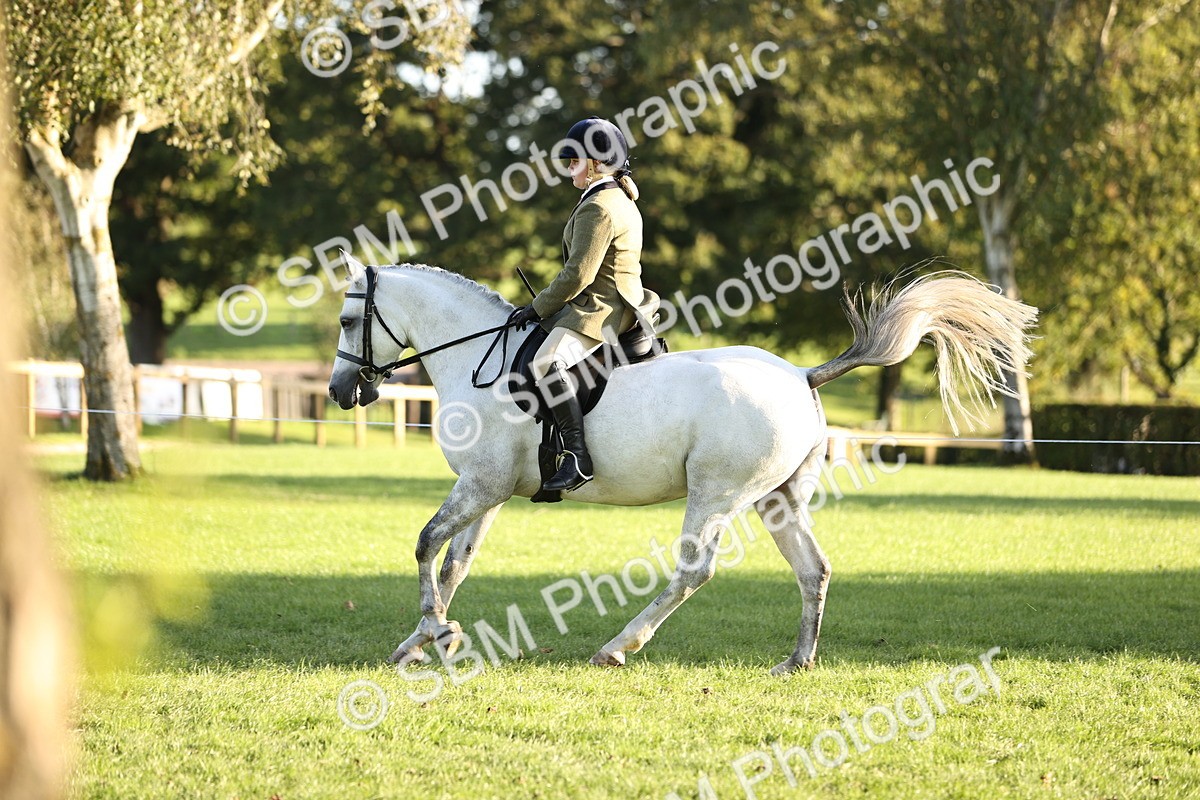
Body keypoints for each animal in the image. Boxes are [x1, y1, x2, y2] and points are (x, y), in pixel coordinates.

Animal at [327, 257, 1037, 674]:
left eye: (346, 318)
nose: (340, 391)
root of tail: (800, 374)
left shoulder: (480, 485)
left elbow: (425, 545)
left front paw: (434, 633)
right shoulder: (490, 490)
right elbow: (455, 563)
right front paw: (424, 640)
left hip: (716, 493)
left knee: (695, 571)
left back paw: (618, 647)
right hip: (779, 500)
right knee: (813, 570)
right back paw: (796, 662)